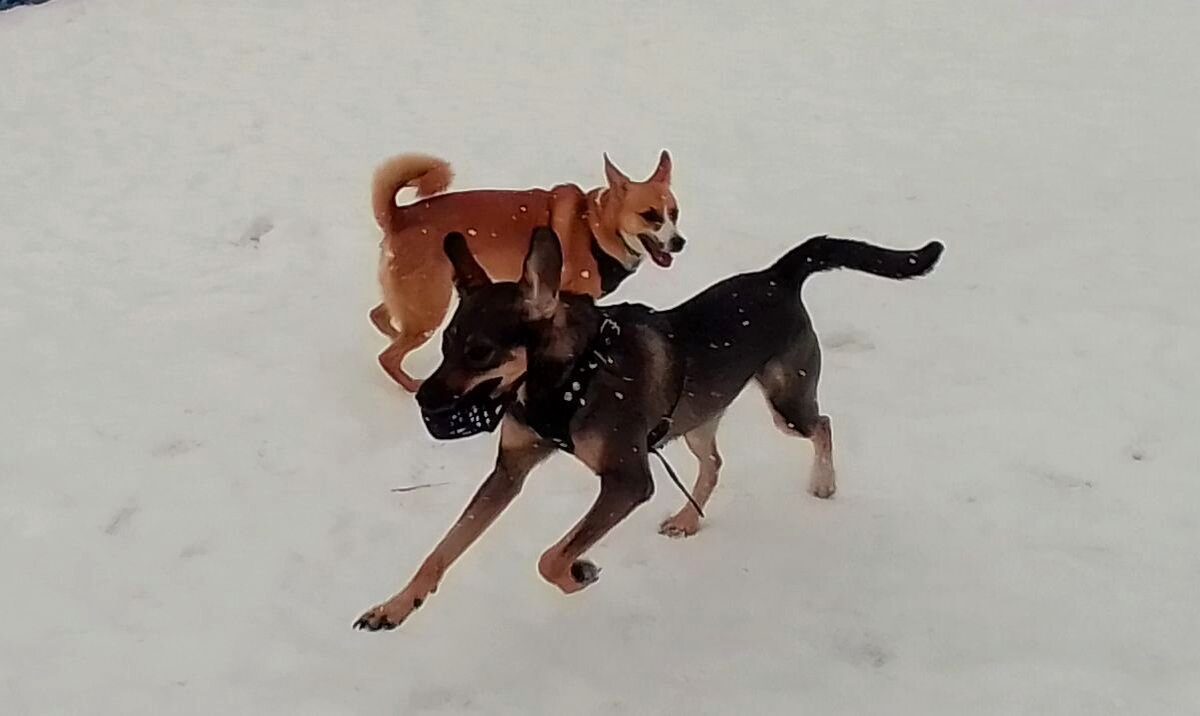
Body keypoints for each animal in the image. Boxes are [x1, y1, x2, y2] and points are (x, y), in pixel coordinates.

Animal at [350, 226, 940, 628]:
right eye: (446, 345)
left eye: (479, 352)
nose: (423, 398)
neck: (570, 379)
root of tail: (778, 275)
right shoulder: (511, 469)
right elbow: (444, 548)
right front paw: (395, 606)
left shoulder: (628, 481)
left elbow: (550, 558)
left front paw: (580, 572)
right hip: (698, 414)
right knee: (715, 461)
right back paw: (687, 518)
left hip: (785, 402)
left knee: (823, 424)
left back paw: (823, 483)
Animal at [369, 149, 686, 390]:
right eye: (650, 216)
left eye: (674, 213)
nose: (679, 242)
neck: (595, 226)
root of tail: (399, 216)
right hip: (431, 307)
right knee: (387, 357)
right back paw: (412, 385)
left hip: (416, 299)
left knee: (380, 317)